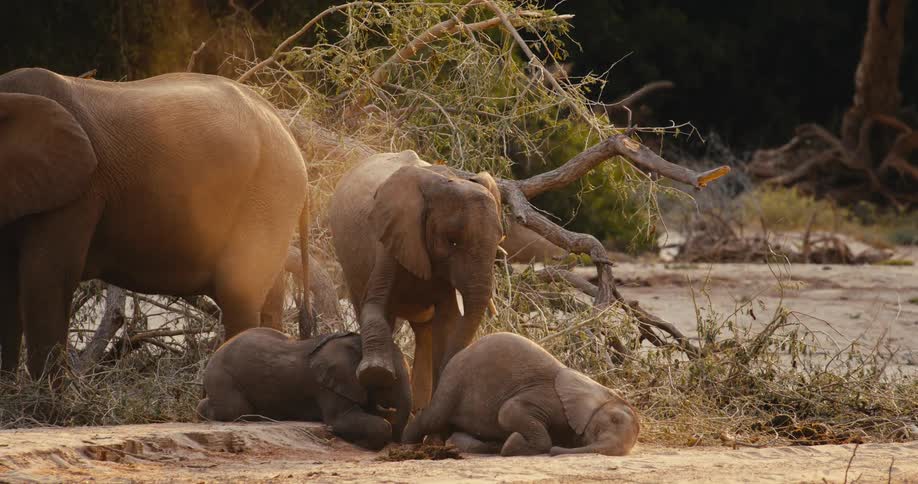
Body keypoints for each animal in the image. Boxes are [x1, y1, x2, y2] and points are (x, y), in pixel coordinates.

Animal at [196, 328, 411, 451]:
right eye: (389, 379)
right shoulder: (329, 386)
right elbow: (345, 419)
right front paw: (362, 442)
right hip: (222, 376)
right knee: (235, 410)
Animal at [328, 150, 504, 409]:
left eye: (499, 242)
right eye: (452, 241)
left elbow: (447, 323)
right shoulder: (391, 238)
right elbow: (376, 306)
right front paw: (377, 373)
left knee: (425, 334)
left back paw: (417, 408)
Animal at [402, 332, 640, 457]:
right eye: (614, 419)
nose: (557, 451)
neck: (601, 390)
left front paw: (508, 443)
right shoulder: (546, 396)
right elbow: (508, 412)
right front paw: (512, 443)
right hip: (453, 382)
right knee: (434, 416)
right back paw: (406, 444)